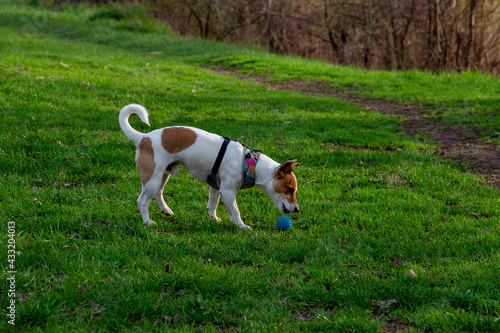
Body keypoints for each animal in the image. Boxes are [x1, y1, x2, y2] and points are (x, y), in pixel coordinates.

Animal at [119, 102, 298, 230]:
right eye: (290, 190)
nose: (297, 209)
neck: (249, 164)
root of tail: (143, 138)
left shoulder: (215, 187)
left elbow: (212, 204)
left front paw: (213, 218)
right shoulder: (227, 192)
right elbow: (235, 211)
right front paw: (242, 226)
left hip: (163, 175)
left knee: (158, 193)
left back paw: (166, 210)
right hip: (152, 178)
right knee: (142, 201)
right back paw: (147, 222)